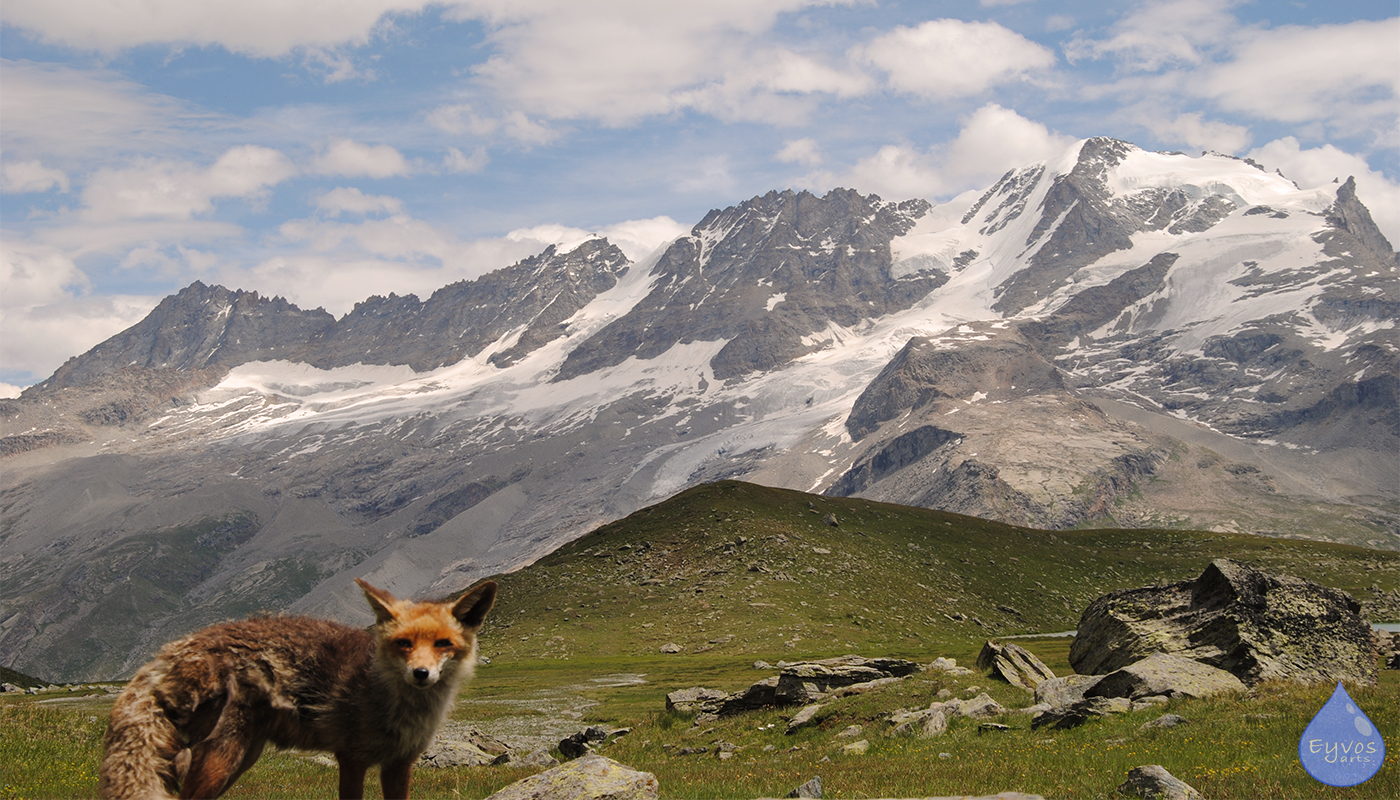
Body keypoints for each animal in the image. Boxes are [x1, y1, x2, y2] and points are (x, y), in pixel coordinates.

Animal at [98, 578, 497, 800]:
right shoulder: (351, 759)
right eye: (404, 644)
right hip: (222, 758)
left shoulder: (399, 764)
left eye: (443, 644)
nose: (421, 673)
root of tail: (181, 645)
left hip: (241, 759)